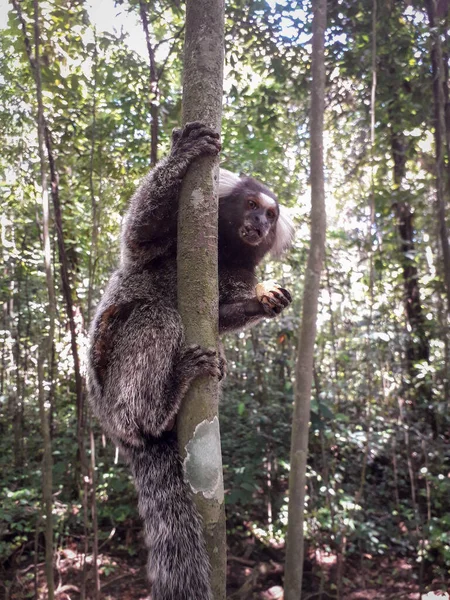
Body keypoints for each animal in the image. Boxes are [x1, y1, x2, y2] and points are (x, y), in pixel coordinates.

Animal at [87, 122, 296, 600]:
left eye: (270, 216)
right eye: (251, 206)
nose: (258, 225)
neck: (223, 253)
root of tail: (113, 427)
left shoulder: (241, 274)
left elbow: (221, 316)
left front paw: (267, 302)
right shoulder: (166, 239)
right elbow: (140, 234)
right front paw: (182, 152)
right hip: (107, 376)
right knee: (156, 317)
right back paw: (162, 402)